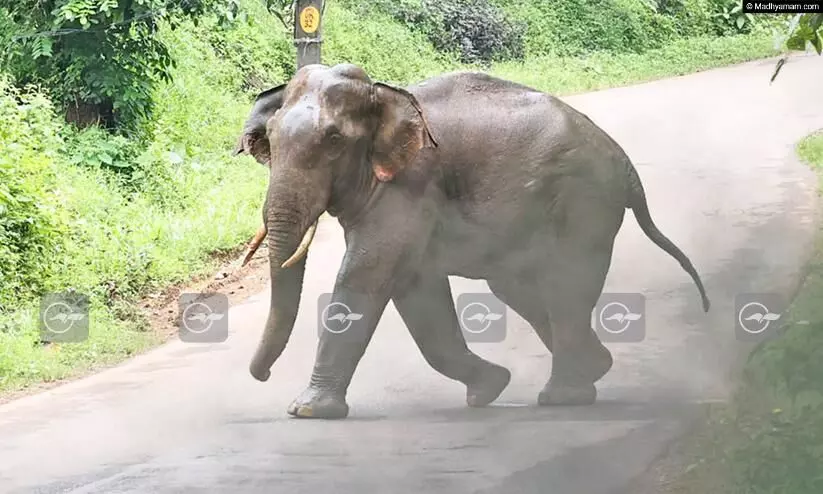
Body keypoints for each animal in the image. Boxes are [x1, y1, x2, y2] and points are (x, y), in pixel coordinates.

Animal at [233, 62, 716, 420]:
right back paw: (593, 370)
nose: (262, 377)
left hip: (585, 203)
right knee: (521, 288)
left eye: (333, 140)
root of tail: (627, 167)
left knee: (563, 285)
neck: (383, 96)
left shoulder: (410, 188)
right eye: (270, 140)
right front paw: (489, 389)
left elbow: (365, 275)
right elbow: (416, 291)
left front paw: (306, 411)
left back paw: (562, 396)